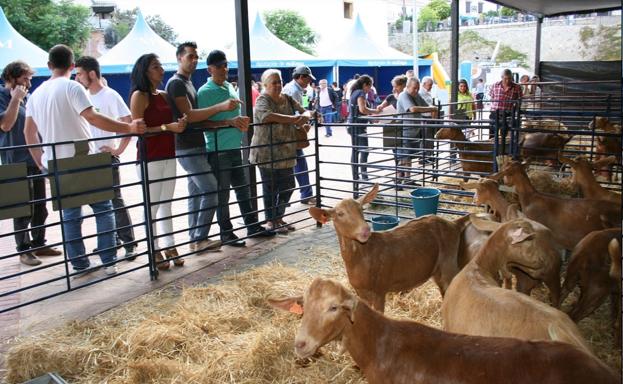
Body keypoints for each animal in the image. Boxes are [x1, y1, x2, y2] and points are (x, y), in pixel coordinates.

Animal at [308, 183, 464, 312]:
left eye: (361, 209)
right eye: (340, 214)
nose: (365, 230)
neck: (361, 257)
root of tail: (454, 224)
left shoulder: (379, 289)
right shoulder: (360, 292)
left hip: (449, 263)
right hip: (438, 270)